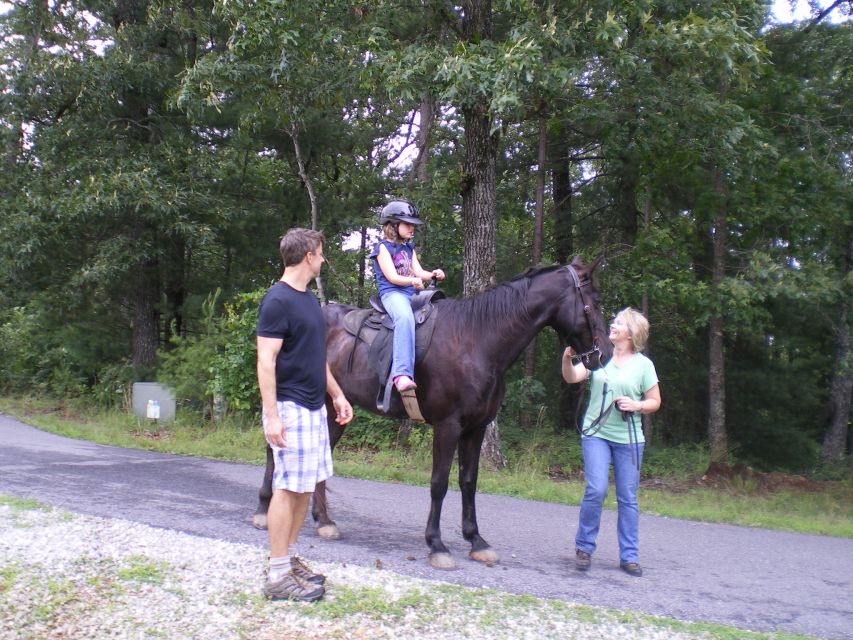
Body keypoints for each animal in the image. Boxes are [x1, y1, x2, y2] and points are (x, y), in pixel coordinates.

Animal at [250, 255, 608, 568]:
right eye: (596, 302)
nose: (603, 354)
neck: (478, 340)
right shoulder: (447, 426)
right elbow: (439, 483)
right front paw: (436, 544)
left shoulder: (476, 428)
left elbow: (468, 481)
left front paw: (476, 540)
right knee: (272, 449)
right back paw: (264, 509)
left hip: (334, 409)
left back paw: (324, 520)